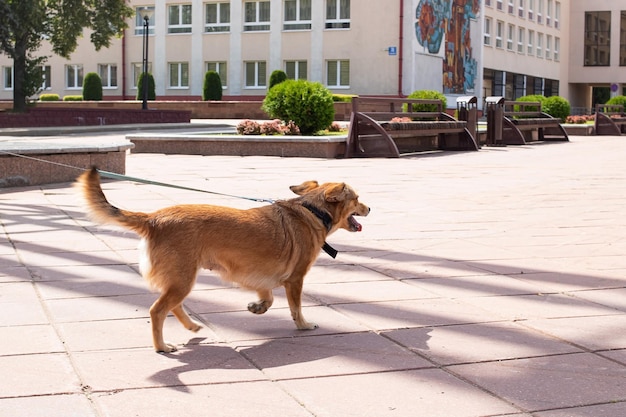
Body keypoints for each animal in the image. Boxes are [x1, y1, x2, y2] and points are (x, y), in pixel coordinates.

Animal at [74, 167, 366, 352]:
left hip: (180, 279)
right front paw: (303, 325)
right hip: (183, 279)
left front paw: (258, 307)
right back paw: (161, 347)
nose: (370, 207)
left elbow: (268, 297)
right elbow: (296, 308)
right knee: (158, 310)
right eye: (357, 199)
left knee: (173, 306)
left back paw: (191, 326)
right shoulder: (295, 280)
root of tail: (154, 219)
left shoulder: (260, 276)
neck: (312, 210)